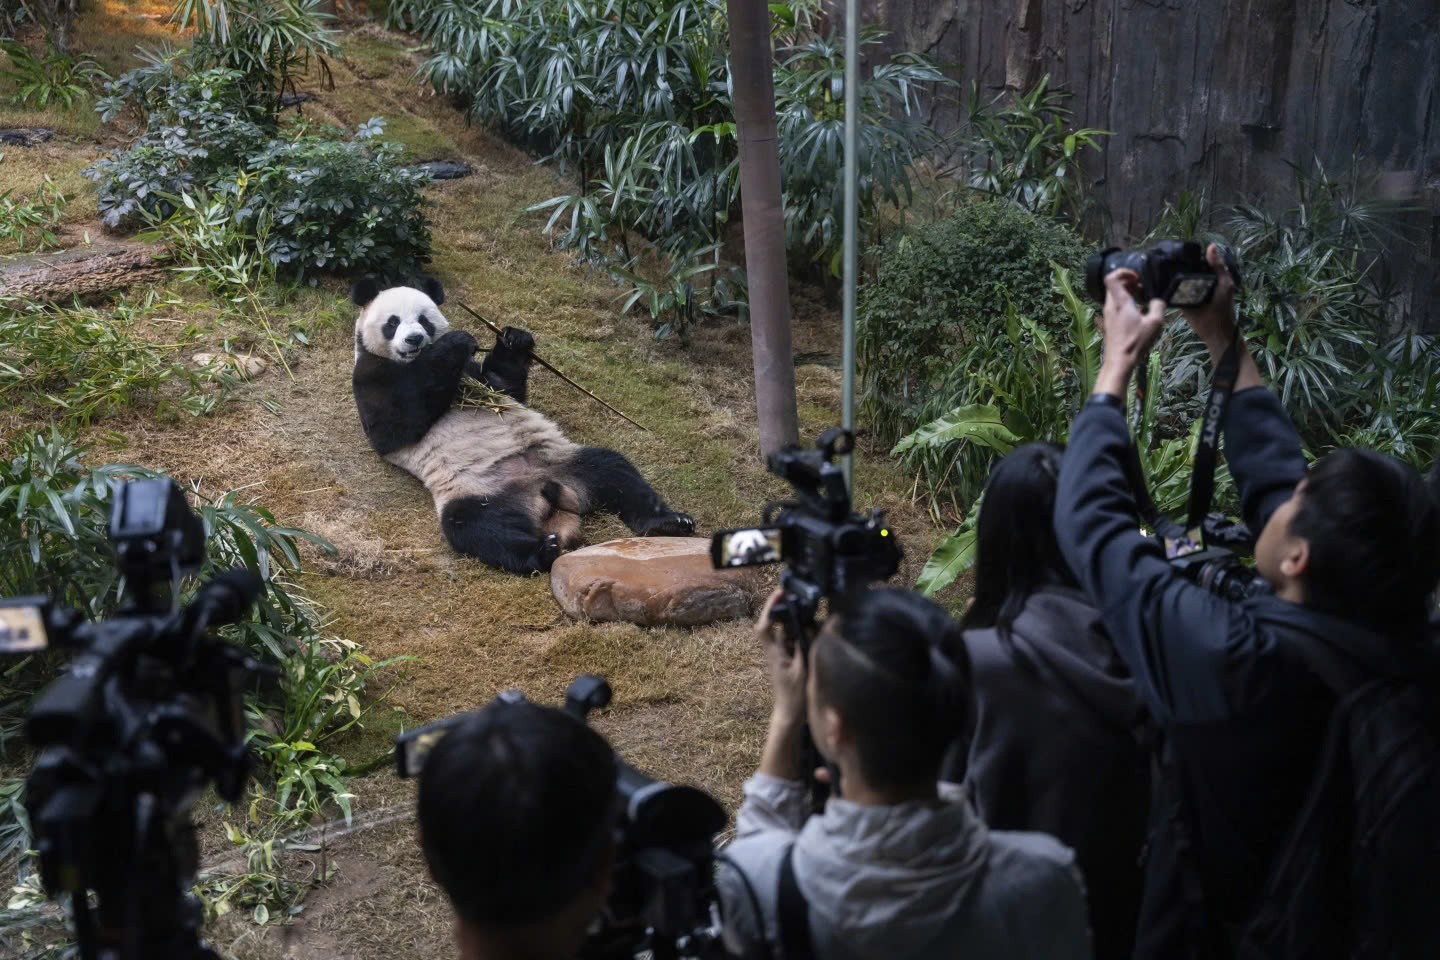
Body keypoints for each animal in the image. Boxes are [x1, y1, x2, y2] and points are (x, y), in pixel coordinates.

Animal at [345, 273, 688, 575]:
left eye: (423, 319)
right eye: (392, 322)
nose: (414, 338)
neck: (413, 361)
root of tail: (548, 495)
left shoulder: (476, 375)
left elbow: (504, 386)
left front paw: (515, 340)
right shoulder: (370, 376)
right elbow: (395, 425)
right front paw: (456, 342)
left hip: (564, 461)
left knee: (615, 470)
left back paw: (667, 522)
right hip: (478, 491)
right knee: (478, 528)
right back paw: (542, 552)